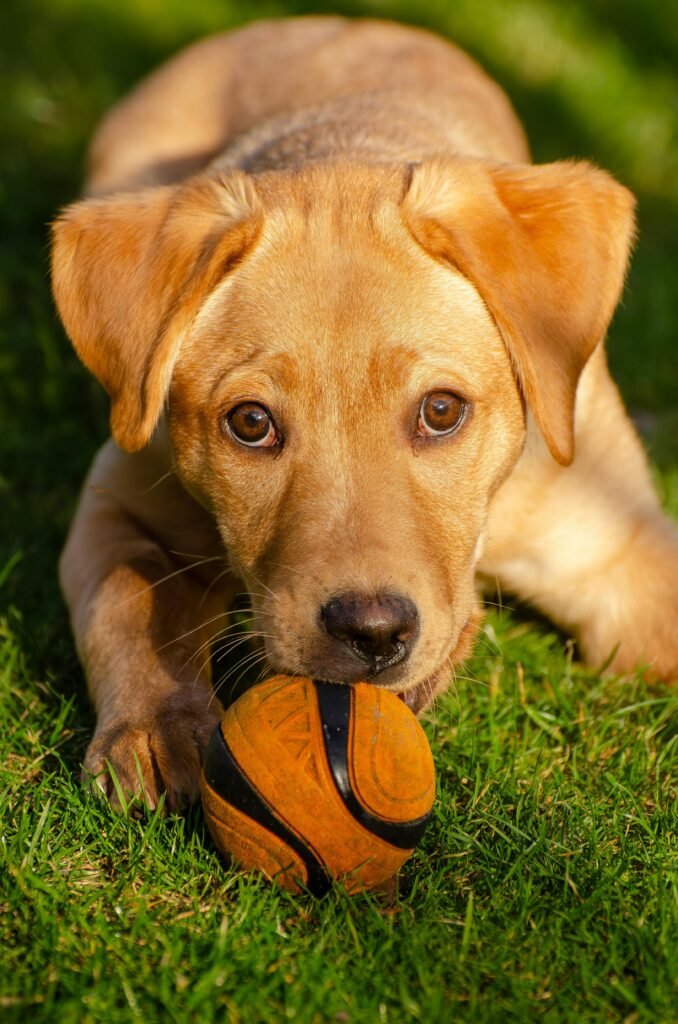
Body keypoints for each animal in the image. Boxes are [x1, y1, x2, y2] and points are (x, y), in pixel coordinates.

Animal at [51, 16, 678, 811]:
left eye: (441, 410)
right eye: (250, 424)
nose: (373, 633)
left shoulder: (622, 542)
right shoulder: (120, 499)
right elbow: (128, 599)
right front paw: (154, 725)